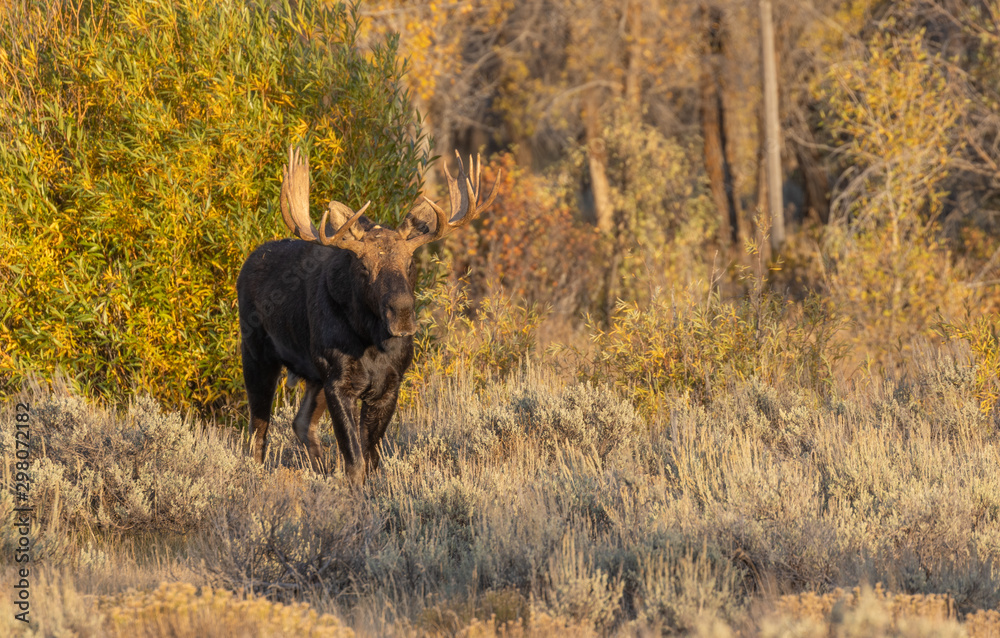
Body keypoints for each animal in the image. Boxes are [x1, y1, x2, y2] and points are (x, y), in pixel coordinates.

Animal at [235, 146, 500, 484]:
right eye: (364, 266)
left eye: (410, 262)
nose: (402, 313)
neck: (373, 344)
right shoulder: (339, 382)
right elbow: (354, 461)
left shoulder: (389, 385)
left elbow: (371, 457)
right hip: (256, 353)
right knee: (258, 429)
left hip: (313, 376)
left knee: (301, 422)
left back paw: (321, 472)